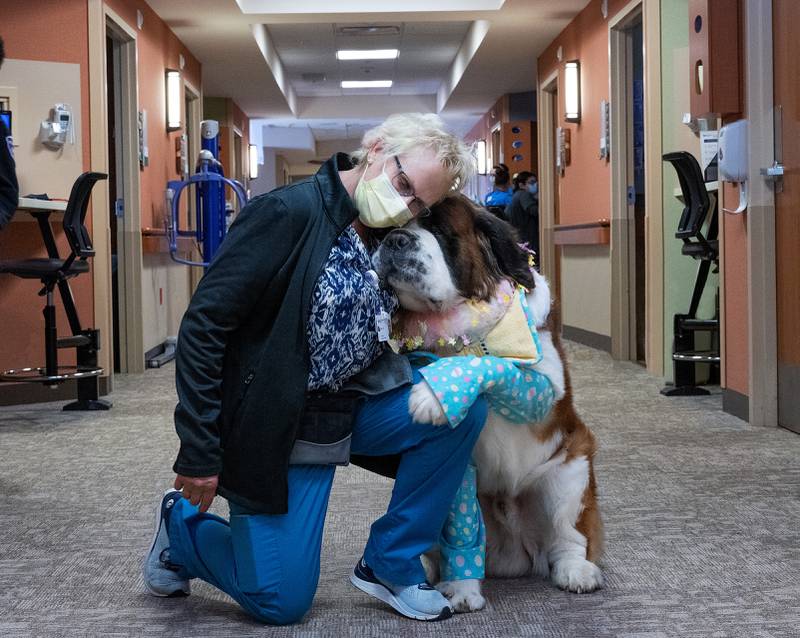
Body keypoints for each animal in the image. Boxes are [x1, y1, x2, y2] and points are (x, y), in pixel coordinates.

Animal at [372, 194, 604, 616]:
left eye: (439, 229)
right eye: (385, 230)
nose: (395, 240)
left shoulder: (545, 388)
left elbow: (489, 362)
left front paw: (433, 395)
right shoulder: (460, 469)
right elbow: (460, 533)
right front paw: (462, 589)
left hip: (570, 473)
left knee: (568, 537)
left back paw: (577, 572)